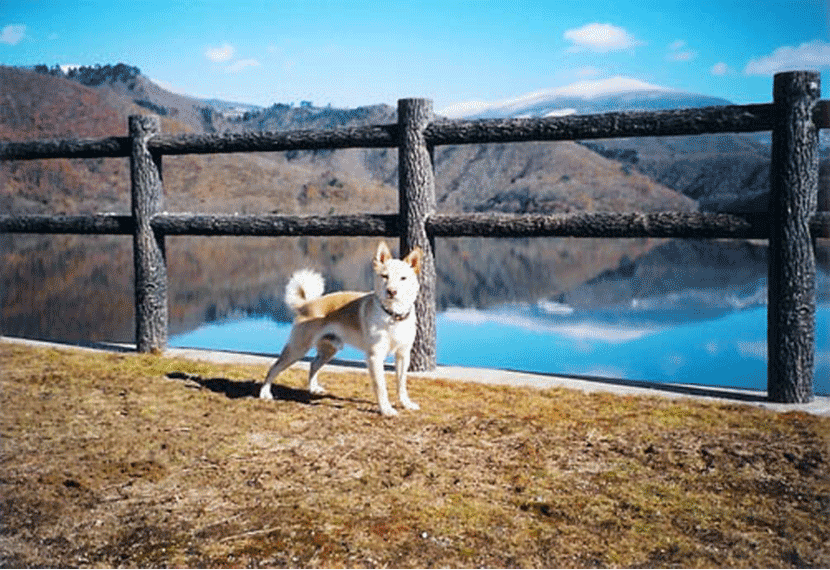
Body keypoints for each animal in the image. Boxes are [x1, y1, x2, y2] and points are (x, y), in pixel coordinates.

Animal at [260, 237, 426, 414]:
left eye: (403, 278)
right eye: (384, 276)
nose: (391, 292)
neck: (392, 315)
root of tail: (307, 304)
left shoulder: (403, 355)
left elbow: (401, 384)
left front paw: (406, 404)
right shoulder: (375, 356)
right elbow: (381, 387)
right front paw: (386, 409)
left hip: (329, 350)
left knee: (313, 364)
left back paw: (313, 388)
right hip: (298, 349)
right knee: (274, 367)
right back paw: (265, 393)